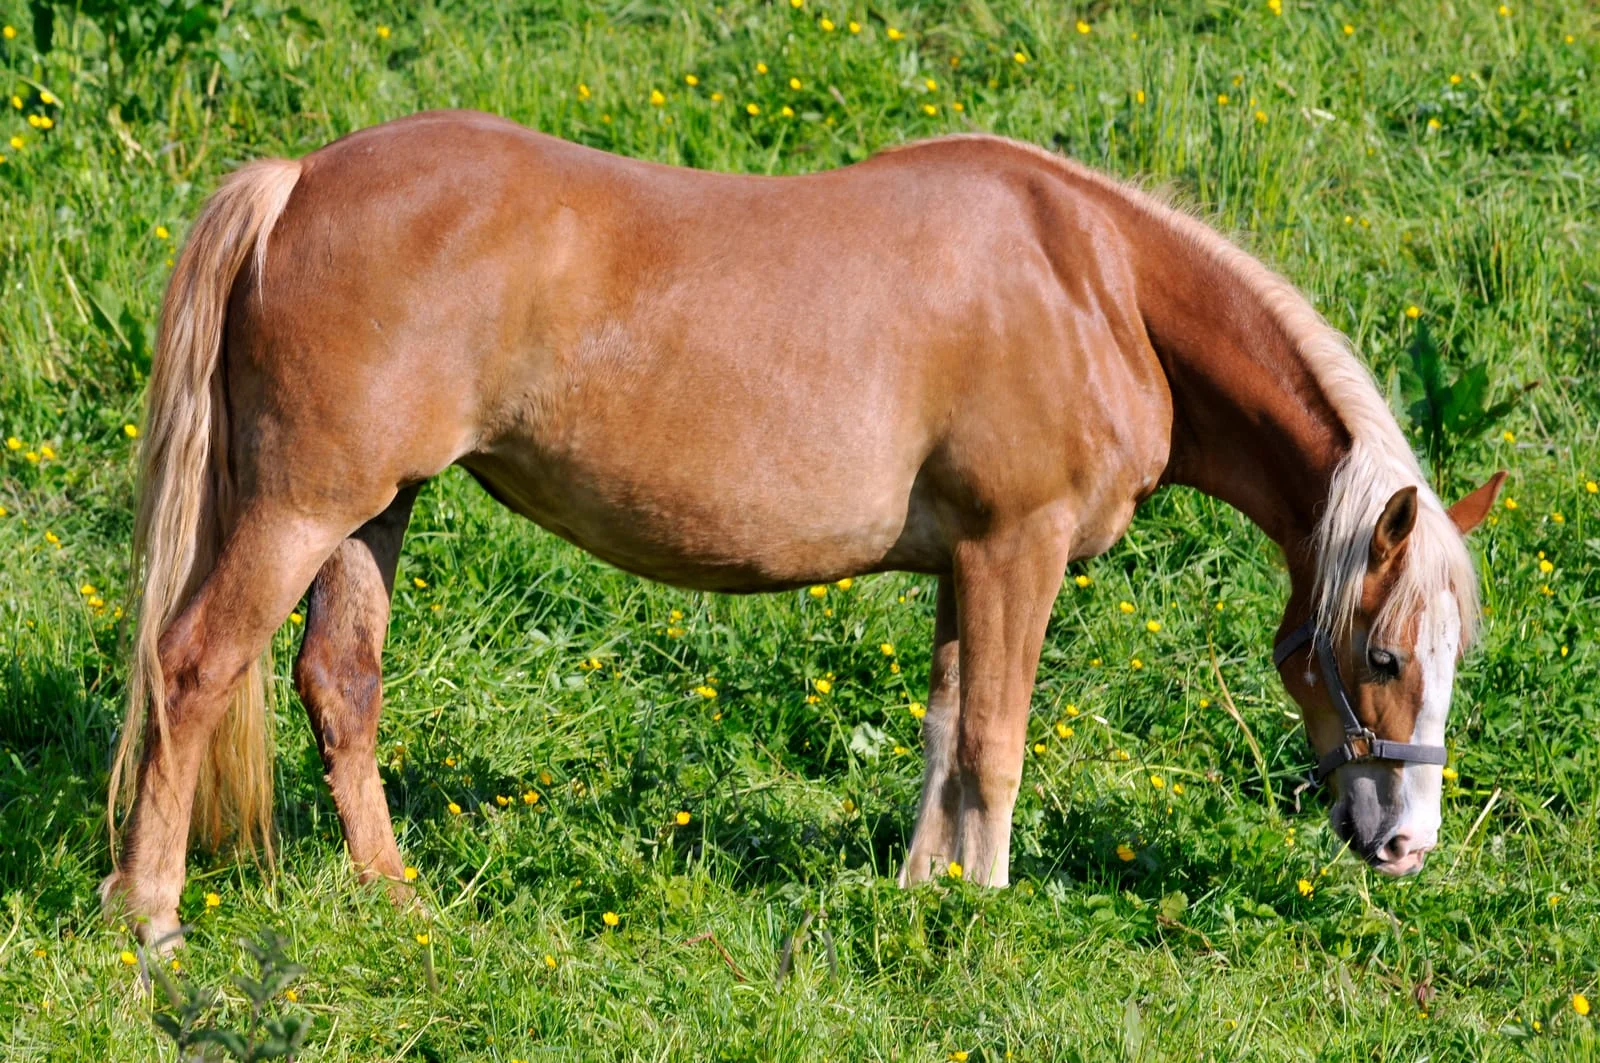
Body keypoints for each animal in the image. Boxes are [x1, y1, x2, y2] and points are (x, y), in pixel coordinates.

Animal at [101, 111, 1504, 945]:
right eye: (1381, 655)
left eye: (1451, 660)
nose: (1408, 845)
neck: (1095, 281)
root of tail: (296, 185)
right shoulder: (1018, 548)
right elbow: (995, 741)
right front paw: (985, 914)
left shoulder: (964, 561)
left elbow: (943, 730)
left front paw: (925, 891)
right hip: (301, 509)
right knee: (192, 666)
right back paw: (153, 920)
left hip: (372, 510)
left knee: (338, 682)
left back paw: (395, 897)